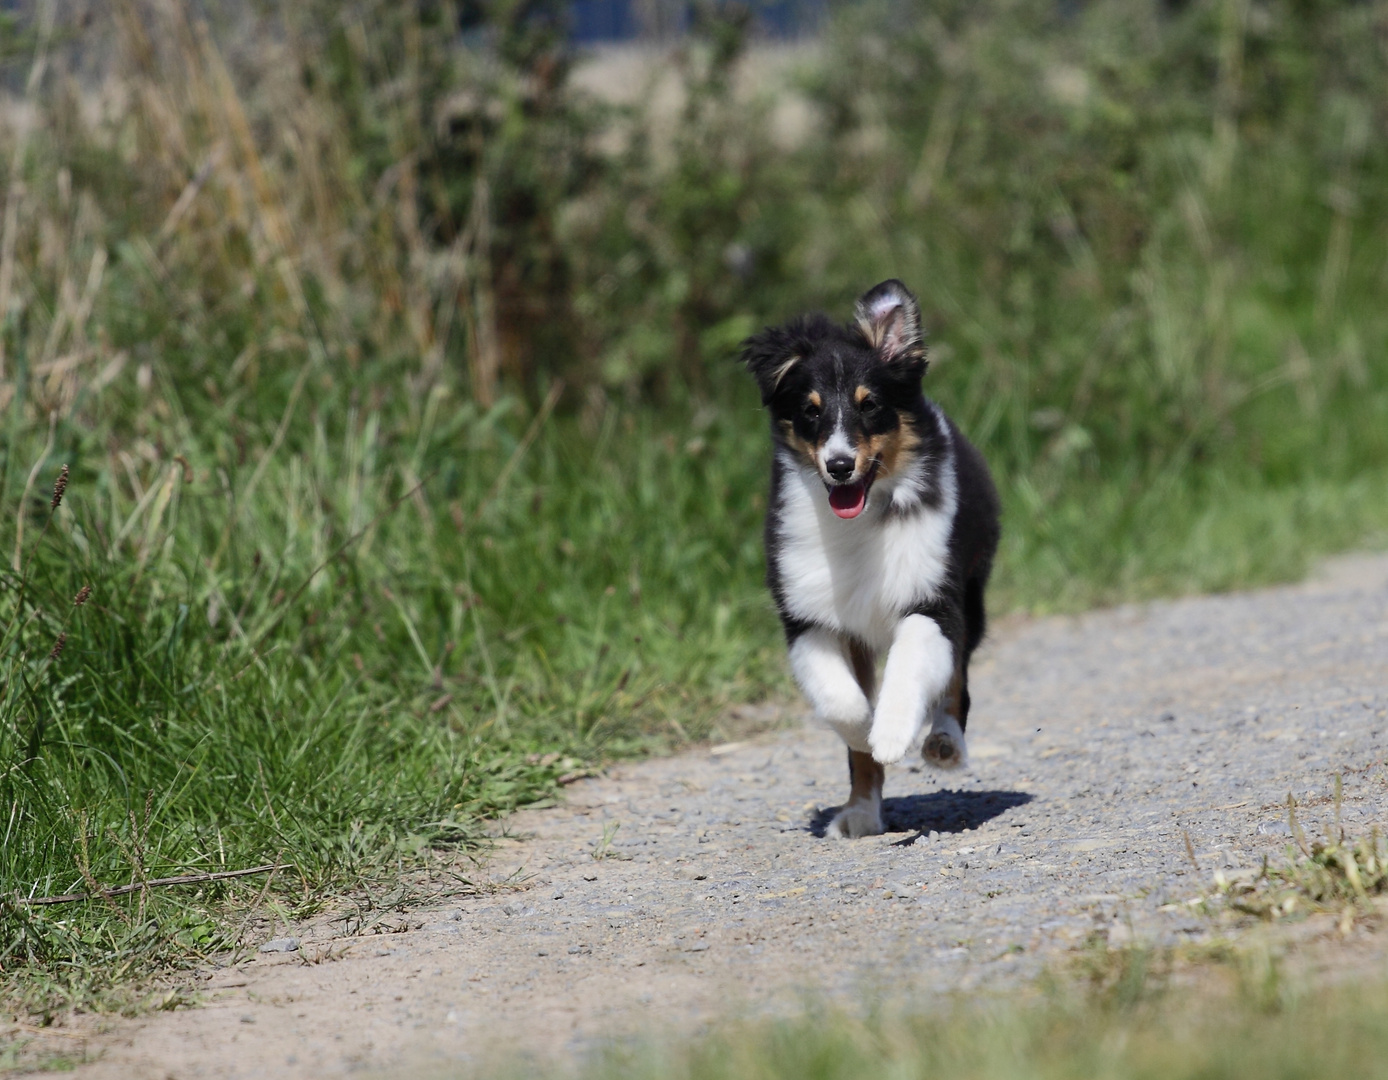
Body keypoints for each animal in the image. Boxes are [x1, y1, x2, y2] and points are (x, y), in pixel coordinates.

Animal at [743, 277, 1004, 832]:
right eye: (811, 410)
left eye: (870, 405)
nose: (840, 465)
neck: (860, 522)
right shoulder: (808, 617)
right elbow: (840, 703)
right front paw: (866, 730)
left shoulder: (931, 598)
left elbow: (909, 664)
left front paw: (890, 732)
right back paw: (860, 812)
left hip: (971, 593)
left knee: (958, 679)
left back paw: (944, 742)